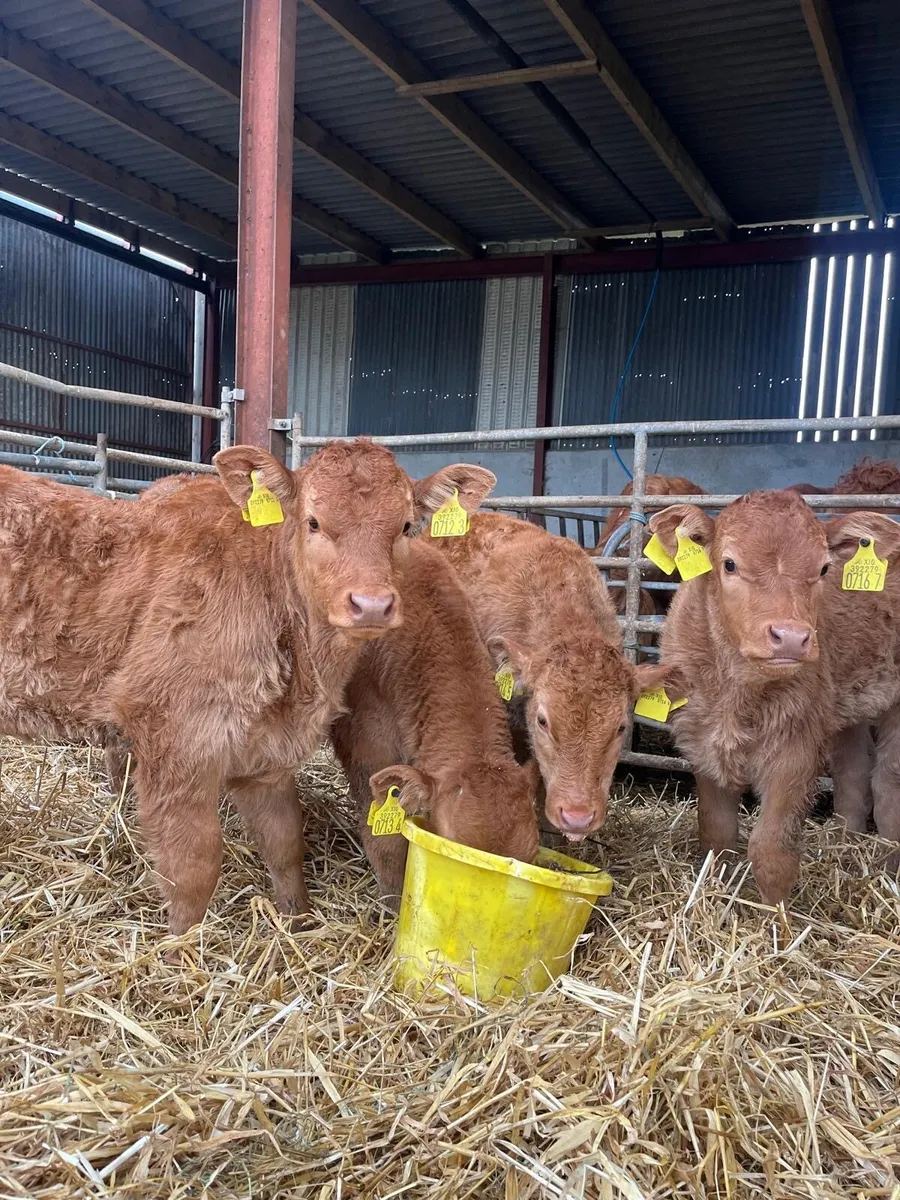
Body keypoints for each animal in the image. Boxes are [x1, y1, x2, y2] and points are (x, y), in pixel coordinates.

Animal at [0, 442, 496, 934]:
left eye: (406, 525)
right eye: (313, 521)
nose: (371, 604)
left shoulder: (266, 754)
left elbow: (284, 842)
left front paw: (297, 923)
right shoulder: (174, 737)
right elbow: (193, 868)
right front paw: (184, 947)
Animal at [651, 489, 900, 904]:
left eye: (824, 569)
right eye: (729, 564)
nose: (791, 637)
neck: (737, 693)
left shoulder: (796, 753)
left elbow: (771, 851)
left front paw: (776, 917)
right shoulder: (703, 742)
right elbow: (716, 834)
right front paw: (717, 892)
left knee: (887, 784)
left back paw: (888, 866)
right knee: (852, 775)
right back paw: (844, 844)